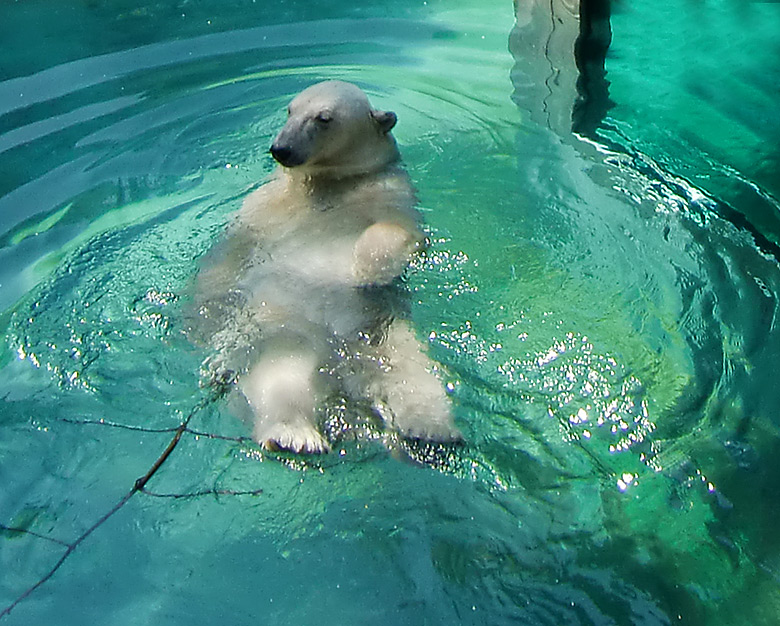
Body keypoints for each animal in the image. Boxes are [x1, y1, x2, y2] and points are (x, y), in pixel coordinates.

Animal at [195, 81, 460, 454]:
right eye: (290, 110)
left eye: (323, 118)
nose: (282, 149)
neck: (329, 184)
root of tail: (346, 378)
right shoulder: (264, 205)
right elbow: (230, 255)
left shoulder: (389, 190)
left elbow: (403, 232)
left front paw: (368, 271)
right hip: (285, 331)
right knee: (282, 376)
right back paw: (295, 435)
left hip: (389, 333)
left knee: (417, 375)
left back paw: (430, 430)